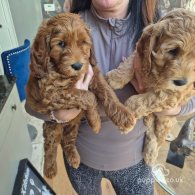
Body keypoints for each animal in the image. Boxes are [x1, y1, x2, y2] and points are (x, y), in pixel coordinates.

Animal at [26, 12, 136, 178]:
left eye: (83, 42)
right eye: (61, 44)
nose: (77, 65)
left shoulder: (93, 72)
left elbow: (108, 93)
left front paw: (124, 117)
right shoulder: (51, 92)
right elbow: (88, 96)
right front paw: (96, 122)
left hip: (73, 124)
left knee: (68, 140)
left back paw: (74, 158)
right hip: (52, 126)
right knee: (50, 145)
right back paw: (50, 169)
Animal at [106, 8, 195, 165]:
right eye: (173, 51)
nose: (182, 82)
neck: (158, 71)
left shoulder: (172, 94)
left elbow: (142, 100)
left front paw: (126, 116)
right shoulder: (140, 56)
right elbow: (130, 62)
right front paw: (115, 78)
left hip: (164, 121)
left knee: (158, 138)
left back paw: (151, 155)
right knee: (150, 130)